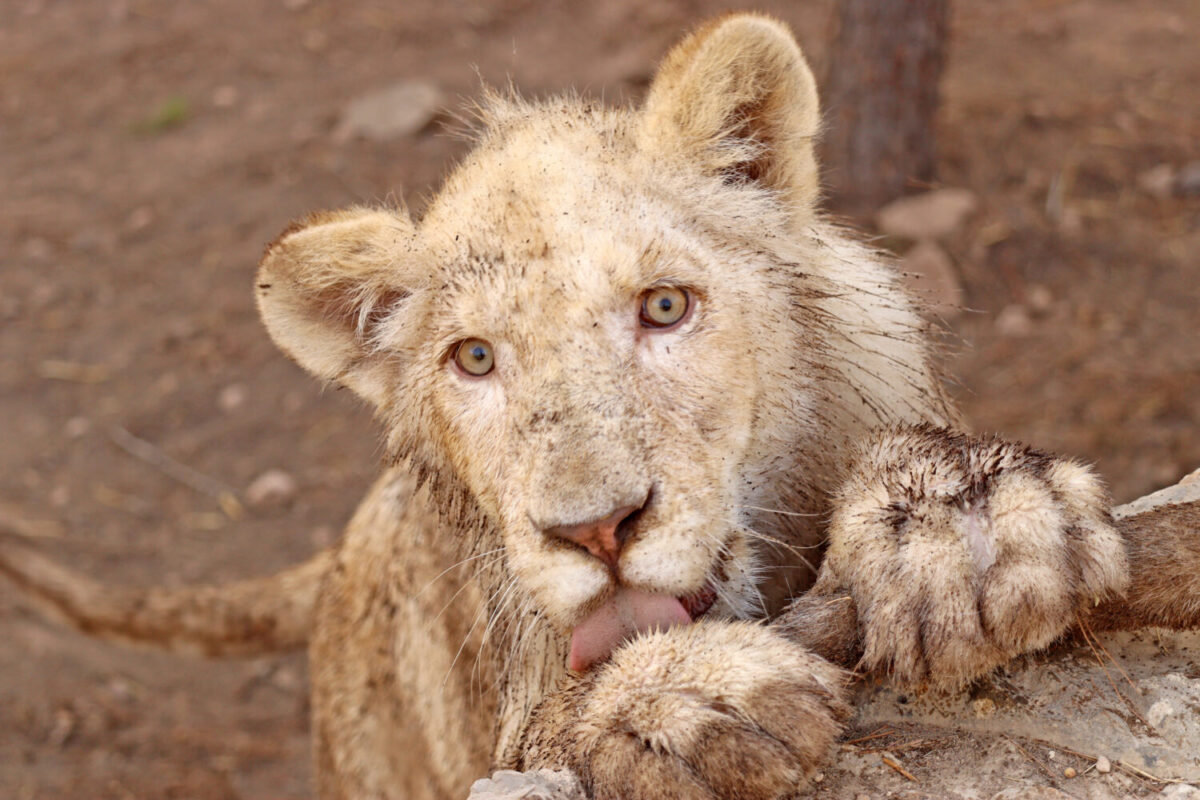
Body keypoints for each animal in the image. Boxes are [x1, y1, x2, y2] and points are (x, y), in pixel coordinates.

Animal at [2, 13, 1198, 800]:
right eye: (474, 359)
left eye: (664, 305)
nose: (595, 530)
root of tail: (344, 551)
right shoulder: (517, 711)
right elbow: (553, 721)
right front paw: (674, 699)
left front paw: (959, 524)